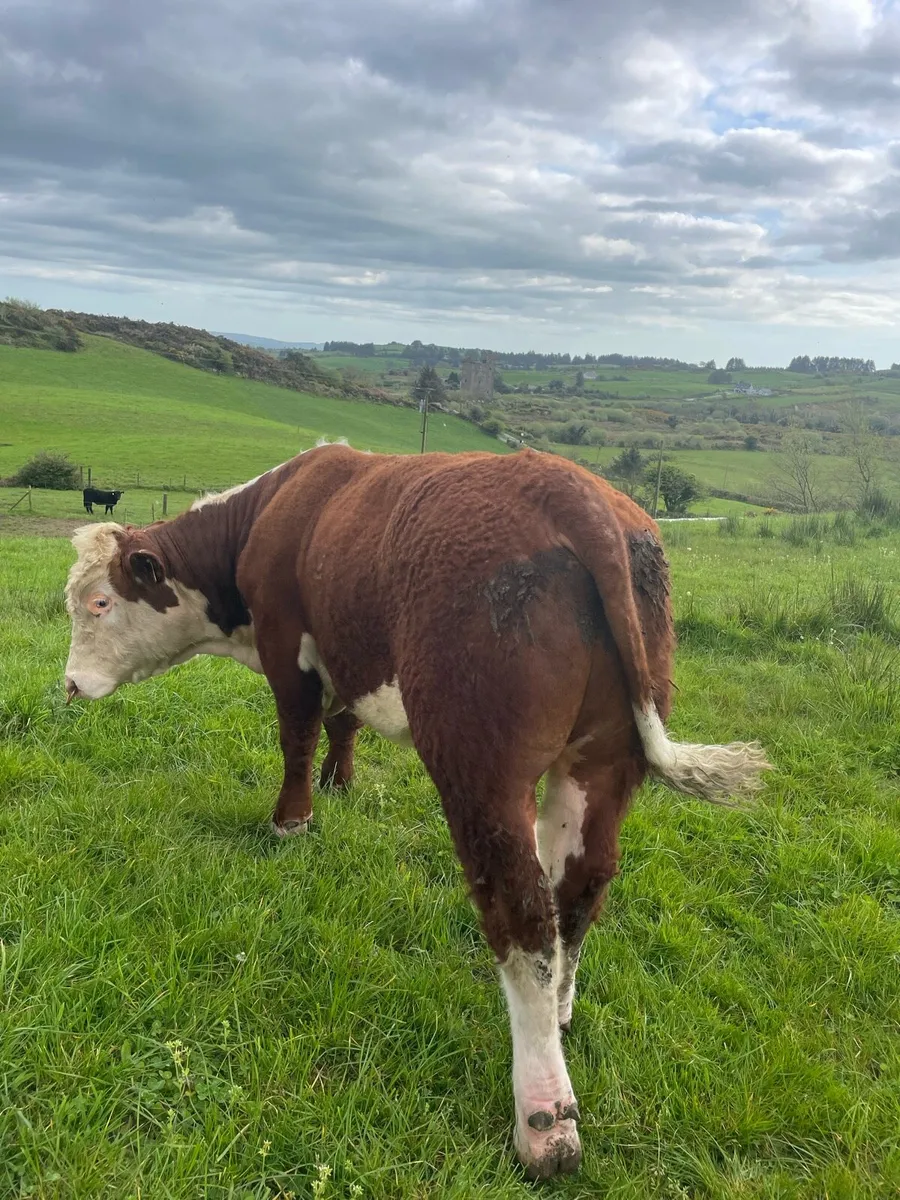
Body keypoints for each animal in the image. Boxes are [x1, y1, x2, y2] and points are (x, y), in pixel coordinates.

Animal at [63, 444, 769, 1180]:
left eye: (99, 602)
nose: (70, 684)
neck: (269, 516)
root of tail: (569, 486)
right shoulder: (346, 651)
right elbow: (342, 722)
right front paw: (340, 785)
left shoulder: (289, 646)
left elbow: (297, 736)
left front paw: (292, 820)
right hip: (600, 759)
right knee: (578, 887)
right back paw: (562, 1011)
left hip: (479, 763)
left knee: (521, 912)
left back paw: (546, 1119)